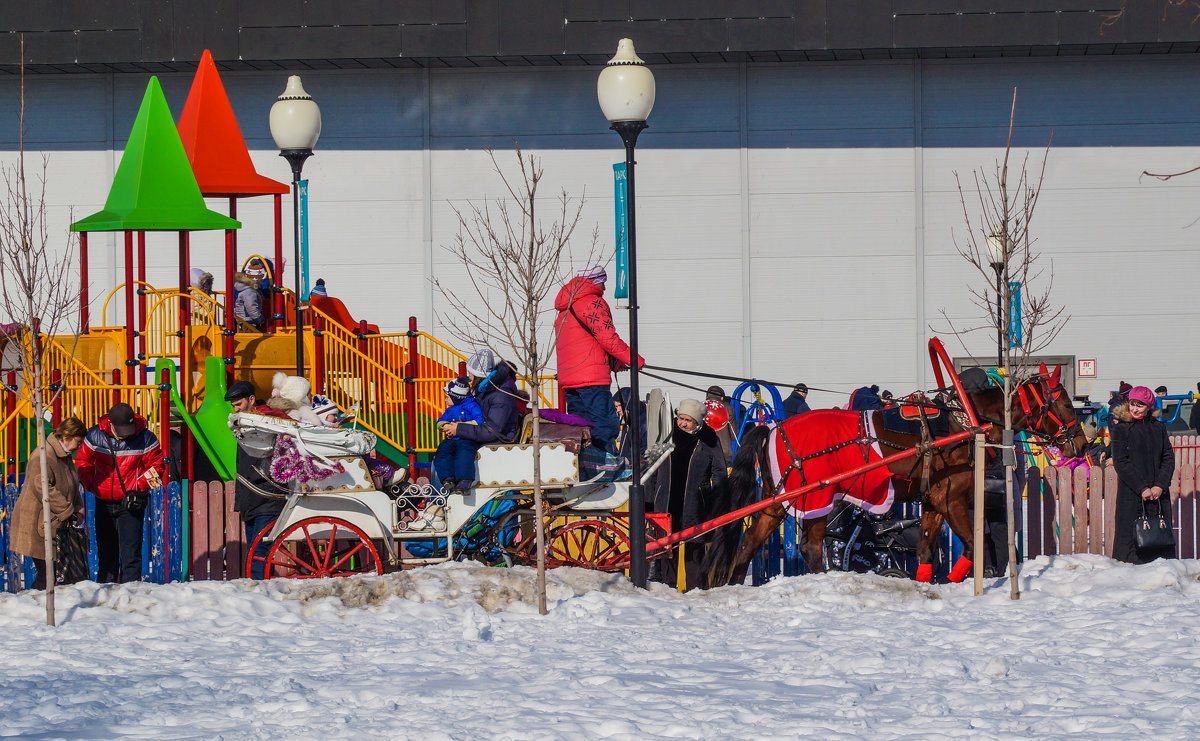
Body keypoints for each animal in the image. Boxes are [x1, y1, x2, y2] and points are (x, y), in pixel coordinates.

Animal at [700, 364, 1089, 582]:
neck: (963, 424)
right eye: (1065, 403)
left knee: (748, 544)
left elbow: (926, 551)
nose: (1083, 444)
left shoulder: (932, 501)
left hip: (776, 501)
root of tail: (771, 428)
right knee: (810, 547)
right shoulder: (952, 499)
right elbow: (973, 543)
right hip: (816, 497)